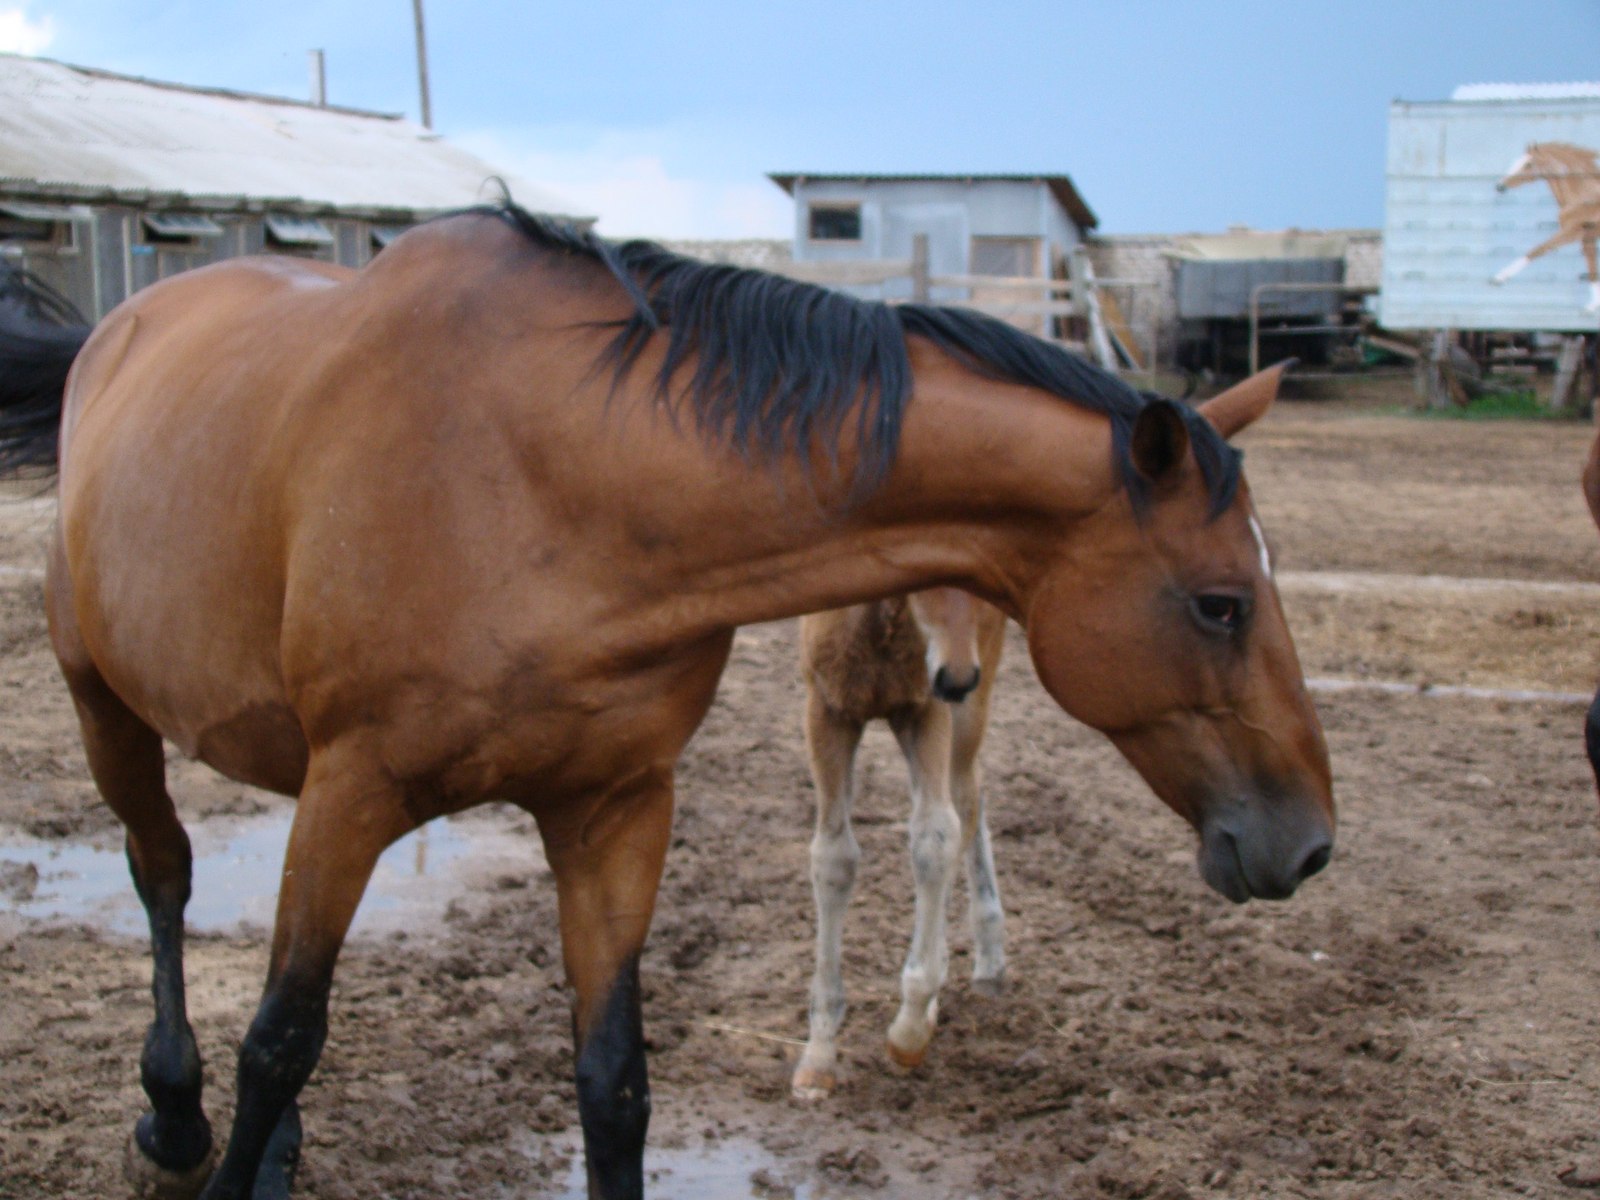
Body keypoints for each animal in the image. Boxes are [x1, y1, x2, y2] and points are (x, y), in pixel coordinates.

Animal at [793, 588, 1004, 1100]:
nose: (957, 676)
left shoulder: (928, 709)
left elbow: (935, 838)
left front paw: (909, 1032)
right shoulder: (827, 711)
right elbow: (833, 859)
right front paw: (819, 1056)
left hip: (973, 698)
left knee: (965, 799)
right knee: (973, 792)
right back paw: (987, 958)